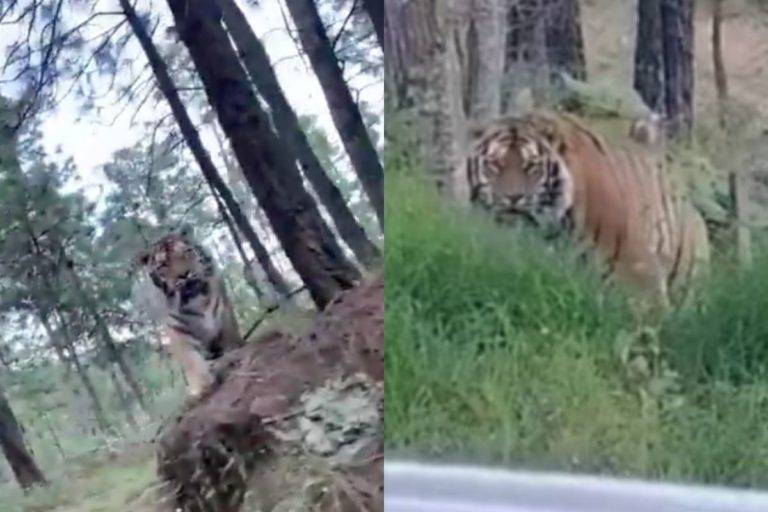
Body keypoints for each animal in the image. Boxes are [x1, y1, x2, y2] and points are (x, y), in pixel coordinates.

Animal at [135, 232, 243, 396]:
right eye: (163, 264)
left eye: (186, 252)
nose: (185, 275)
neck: (196, 301)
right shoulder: (177, 329)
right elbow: (191, 359)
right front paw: (203, 384)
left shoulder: (223, 314)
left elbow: (230, 339)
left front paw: (234, 353)